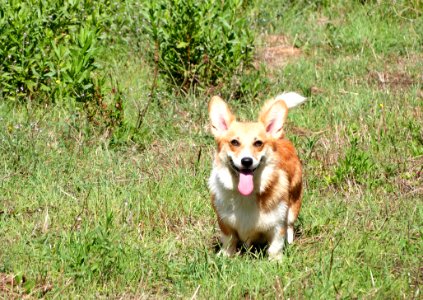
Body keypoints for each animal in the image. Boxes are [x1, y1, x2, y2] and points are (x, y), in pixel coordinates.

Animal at [208, 92, 304, 260]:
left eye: (258, 143)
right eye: (234, 142)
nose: (247, 161)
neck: (246, 195)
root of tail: (280, 138)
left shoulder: (278, 225)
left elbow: (275, 246)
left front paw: (276, 261)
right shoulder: (224, 222)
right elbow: (229, 241)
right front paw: (225, 256)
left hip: (293, 205)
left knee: (290, 226)